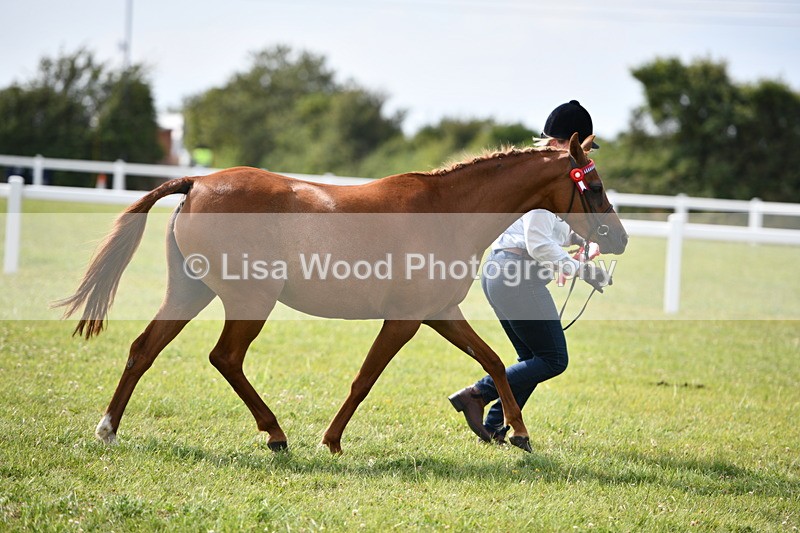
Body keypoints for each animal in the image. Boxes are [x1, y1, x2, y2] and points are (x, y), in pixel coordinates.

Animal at [56, 133, 628, 454]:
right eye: (595, 187)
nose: (618, 238)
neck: (447, 213)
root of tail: (196, 182)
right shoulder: (404, 320)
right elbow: (364, 380)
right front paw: (331, 441)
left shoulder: (440, 311)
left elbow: (491, 360)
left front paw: (516, 432)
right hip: (249, 301)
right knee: (225, 357)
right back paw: (276, 434)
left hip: (190, 293)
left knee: (144, 350)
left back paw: (108, 430)